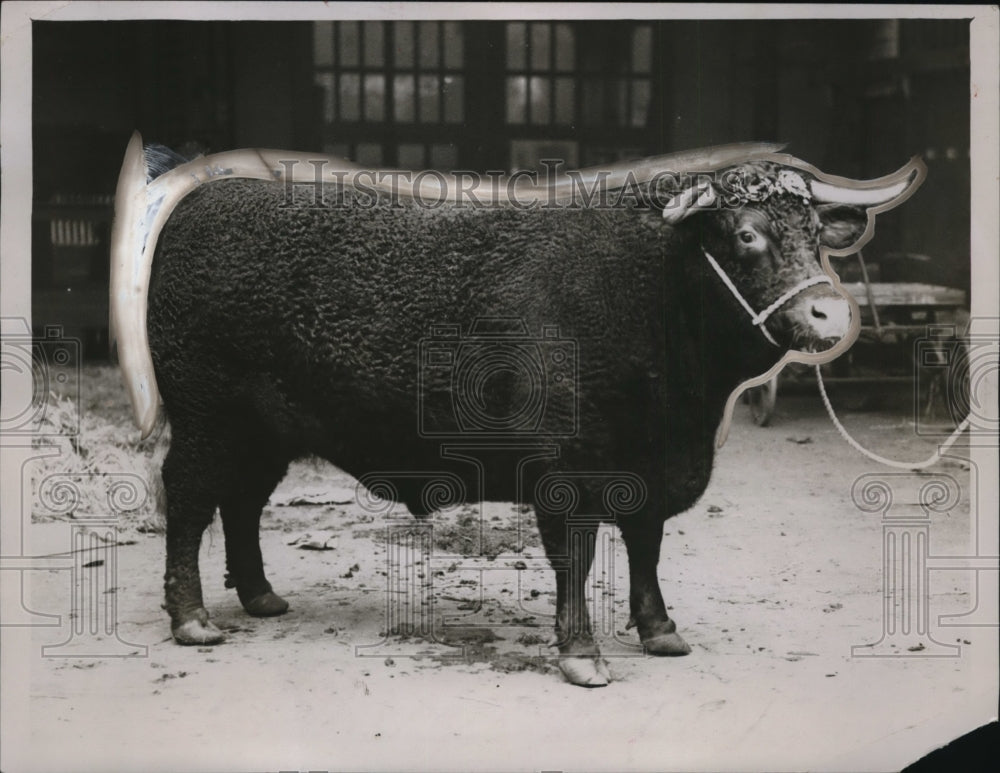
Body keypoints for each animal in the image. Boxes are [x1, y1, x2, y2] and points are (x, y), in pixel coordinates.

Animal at [110, 132, 922, 686]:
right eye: (747, 234)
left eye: (816, 235)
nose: (829, 315)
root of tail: (210, 198)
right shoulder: (565, 473)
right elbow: (577, 557)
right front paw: (582, 654)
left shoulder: (649, 466)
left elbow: (648, 543)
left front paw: (659, 629)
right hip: (209, 420)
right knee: (189, 500)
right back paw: (193, 620)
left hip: (263, 431)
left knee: (241, 503)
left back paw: (260, 596)